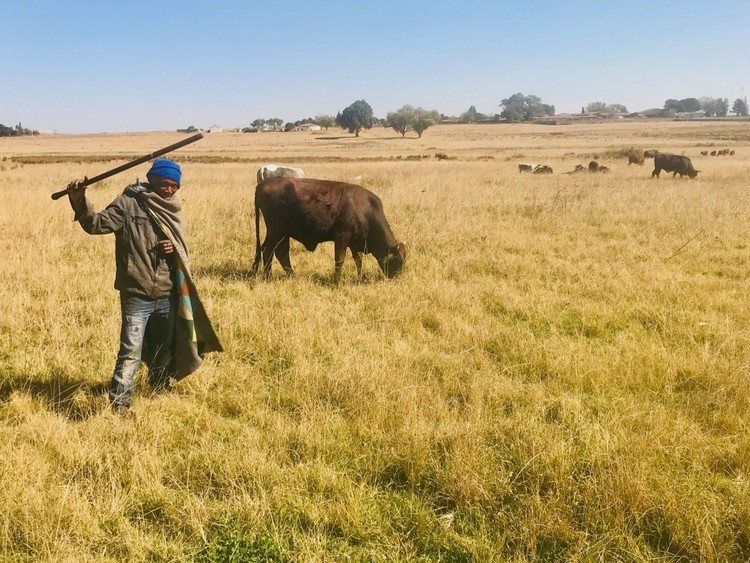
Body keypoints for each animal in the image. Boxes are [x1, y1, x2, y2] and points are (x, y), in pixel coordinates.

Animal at [252, 177, 406, 283]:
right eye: (398, 261)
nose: (396, 277)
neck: (365, 209)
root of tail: (262, 184)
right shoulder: (341, 238)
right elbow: (340, 259)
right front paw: (337, 281)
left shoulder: (355, 243)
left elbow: (358, 261)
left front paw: (360, 278)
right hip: (276, 232)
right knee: (268, 251)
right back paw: (268, 276)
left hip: (283, 234)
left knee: (280, 252)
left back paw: (291, 275)